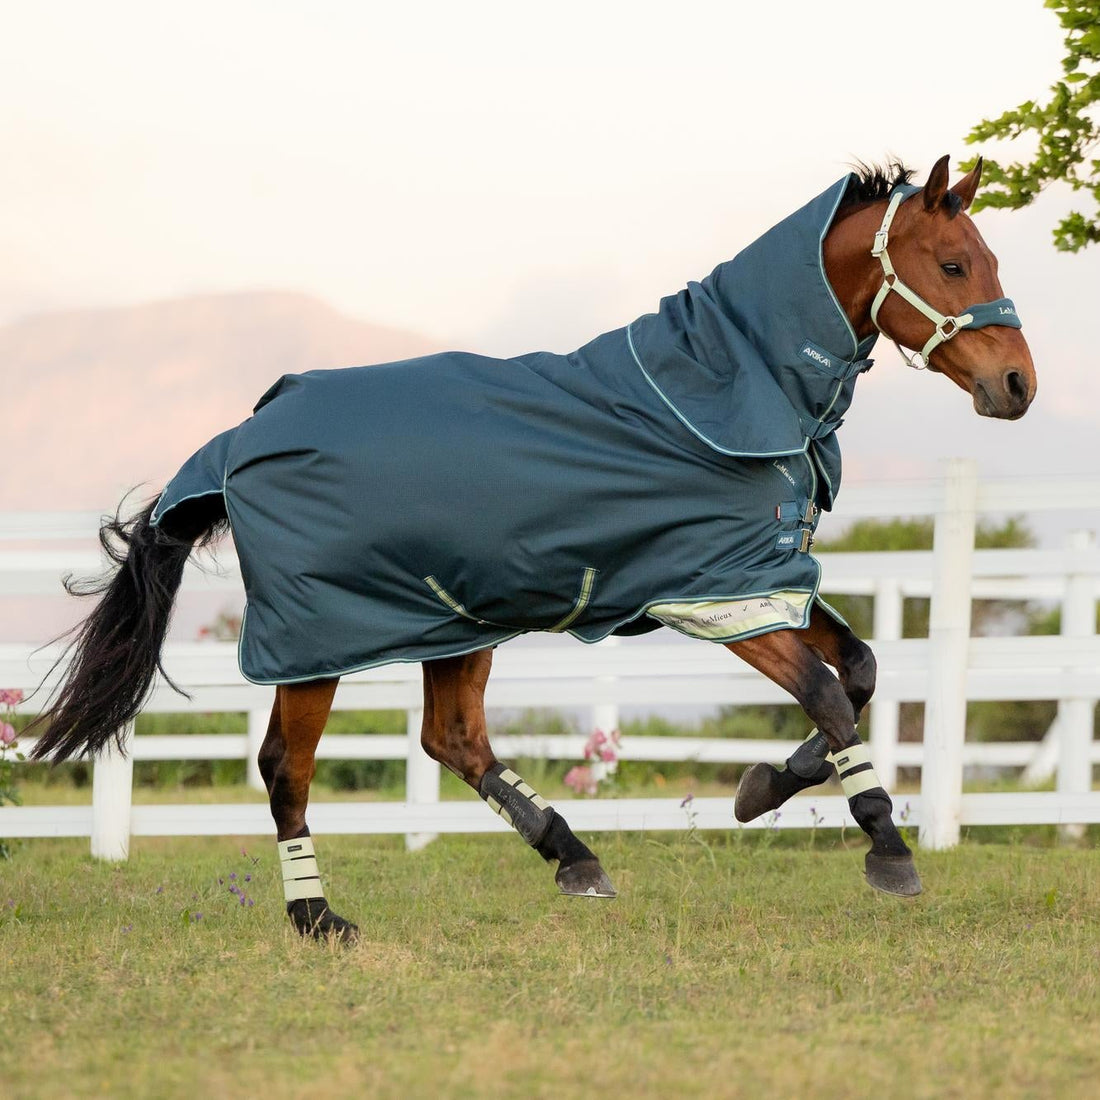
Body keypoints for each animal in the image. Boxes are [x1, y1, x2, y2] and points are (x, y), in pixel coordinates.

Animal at [28, 155, 1035, 942]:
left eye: (989, 258)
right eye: (953, 262)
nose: (1019, 384)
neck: (731, 386)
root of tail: (244, 433)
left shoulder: (764, 580)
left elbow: (859, 671)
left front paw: (762, 788)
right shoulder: (716, 595)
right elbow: (829, 695)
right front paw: (886, 847)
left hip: (454, 621)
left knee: (454, 739)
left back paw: (574, 858)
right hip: (319, 642)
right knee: (289, 767)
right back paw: (317, 917)